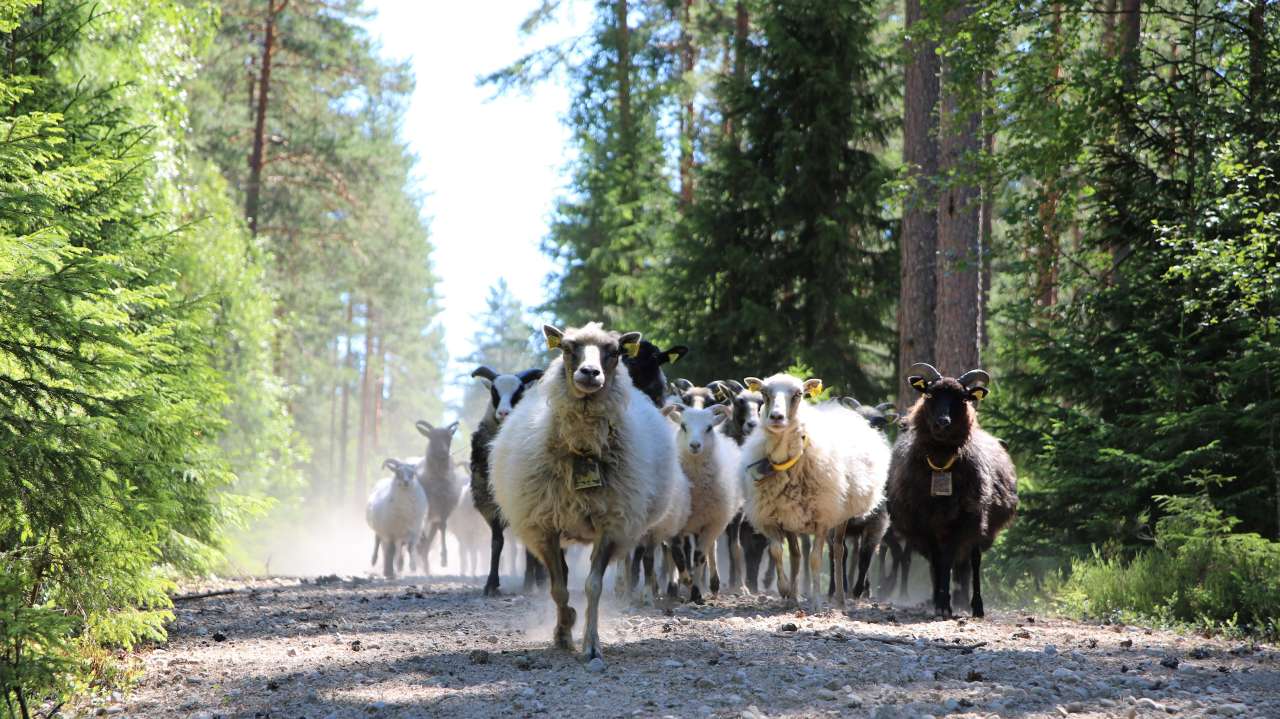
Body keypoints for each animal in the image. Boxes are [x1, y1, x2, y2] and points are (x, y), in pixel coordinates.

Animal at [473, 363, 547, 593]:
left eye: (519, 390)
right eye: (494, 391)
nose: (504, 412)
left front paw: (535, 582)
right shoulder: (490, 503)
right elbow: (497, 542)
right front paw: (491, 584)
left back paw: (536, 581)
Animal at [488, 319, 686, 665]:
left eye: (615, 352)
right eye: (568, 348)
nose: (590, 372)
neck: (583, 450)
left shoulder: (611, 525)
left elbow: (593, 586)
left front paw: (591, 644)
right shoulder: (545, 527)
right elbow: (558, 588)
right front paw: (563, 632)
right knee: (564, 577)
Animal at [660, 404, 742, 598]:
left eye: (709, 427)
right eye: (683, 426)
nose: (695, 445)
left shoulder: (712, 522)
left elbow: (699, 556)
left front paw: (696, 593)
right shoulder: (674, 522)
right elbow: (677, 554)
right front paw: (686, 581)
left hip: (711, 522)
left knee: (709, 549)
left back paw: (714, 584)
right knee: (670, 552)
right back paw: (674, 587)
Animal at [742, 368, 890, 608]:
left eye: (798, 394)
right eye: (764, 393)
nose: (776, 417)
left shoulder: (822, 519)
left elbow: (814, 558)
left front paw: (816, 600)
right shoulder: (781, 516)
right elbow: (781, 552)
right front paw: (787, 592)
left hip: (841, 516)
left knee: (839, 551)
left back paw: (840, 598)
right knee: (801, 554)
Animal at [890, 363, 1018, 616]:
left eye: (963, 398)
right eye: (930, 394)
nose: (943, 422)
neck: (941, 464)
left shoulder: (960, 521)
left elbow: (948, 560)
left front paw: (944, 604)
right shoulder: (925, 523)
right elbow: (937, 561)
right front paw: (939, 602)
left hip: (979, 524)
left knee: (974, 560)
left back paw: (976, 606)